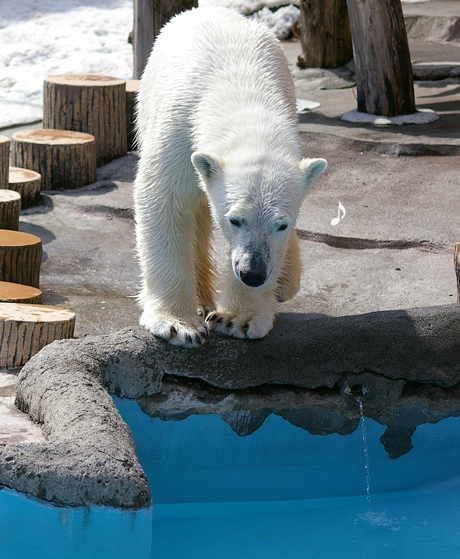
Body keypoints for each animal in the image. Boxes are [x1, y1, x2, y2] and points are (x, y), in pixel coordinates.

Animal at [134, 6, 328, 348]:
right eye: (235, 219)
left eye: (281, 224)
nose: (253, 273)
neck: (240, 92)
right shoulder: (178, 132)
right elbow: (166, 202)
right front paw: (178, 325)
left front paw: (238, 318)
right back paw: (201, 301)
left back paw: (285, 282)